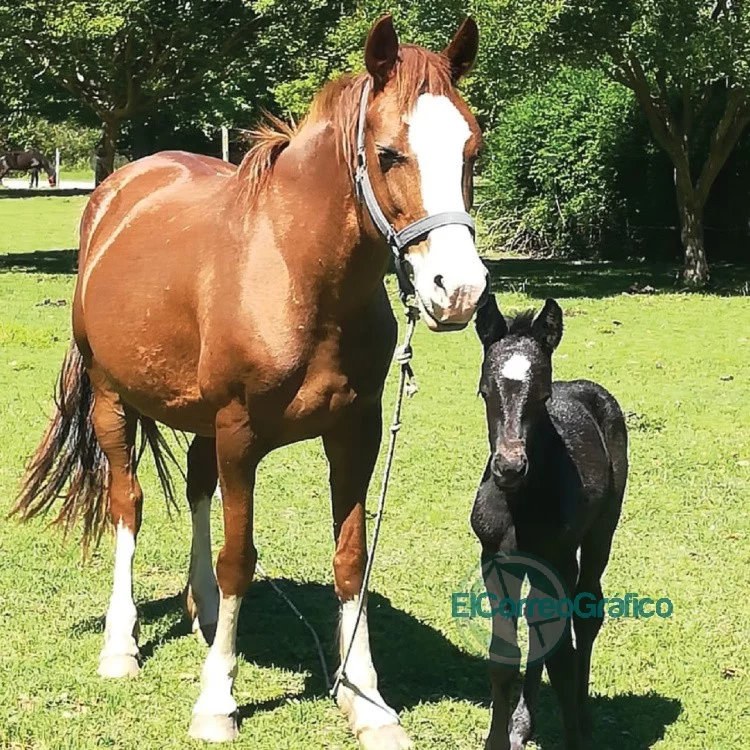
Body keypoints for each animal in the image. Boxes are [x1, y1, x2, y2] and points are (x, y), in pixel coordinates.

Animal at [13, 15, 488, 748]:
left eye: (474, 151)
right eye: (387, 153)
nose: (457, 291)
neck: (297, 272)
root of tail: (115, 194)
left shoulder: (355, 433)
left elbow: (350, 558)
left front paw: (365, 701)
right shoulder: (242, 434)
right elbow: (240, 556)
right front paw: (216, 701)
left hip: (201, 420)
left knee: (197, 490)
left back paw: (205, 611)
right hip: (113, 401)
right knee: (129, 503)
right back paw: (121, 646)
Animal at [471, 296, 628, 750]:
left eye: (542, 396)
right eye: (485, 392)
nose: (509, 467)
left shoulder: (555, 560)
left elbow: (561, 657)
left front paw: (574, 734)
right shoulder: (495, 560)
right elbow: (505, 656)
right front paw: (500, 737)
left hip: (599, 534)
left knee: (586, 613)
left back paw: (584, 717)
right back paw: (524, 723)